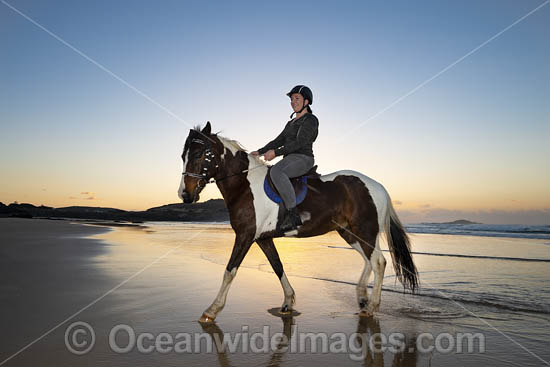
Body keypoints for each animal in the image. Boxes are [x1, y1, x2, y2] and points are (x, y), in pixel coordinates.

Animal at [179, 122, 420, 324]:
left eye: (199, 153)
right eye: (183, 155)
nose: (185, 195)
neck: (245, 185)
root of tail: (377, 186)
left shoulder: (245, 235)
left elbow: (230, 271)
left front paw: (212, 310)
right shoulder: (262, 238)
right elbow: (277, 266)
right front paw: (288, 302)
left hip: (365, 231)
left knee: (378, 262)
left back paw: (370, 306)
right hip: (350, 233)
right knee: (369, 261)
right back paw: (362, 297)